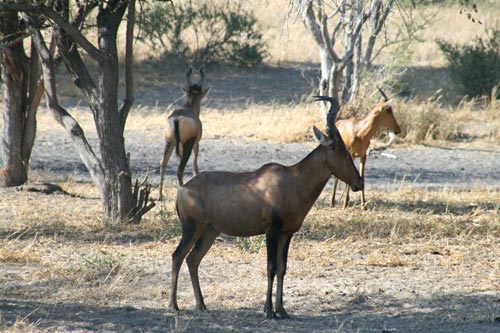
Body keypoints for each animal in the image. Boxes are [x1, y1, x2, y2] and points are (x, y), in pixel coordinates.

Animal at [158, 66, 209, 198]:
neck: (188, 107)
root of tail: (177, 118)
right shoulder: (196, 143)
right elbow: (195, 165)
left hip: (169, 142)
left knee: (163, 163)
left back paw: (160, 195)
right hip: (187, 145)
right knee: (180, 169)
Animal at [169, 95, 364, 316]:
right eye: (338, 148)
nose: (359, 183)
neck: (291, 179)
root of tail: (183, 189)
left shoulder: (287, 233)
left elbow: (282, 268)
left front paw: (282, 310)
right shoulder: (271, 230)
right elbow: (271, 267)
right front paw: (269, 311)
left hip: (210, 230)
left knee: (193, 259)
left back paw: (201, 305)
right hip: (192, 228)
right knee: (177, 256)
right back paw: (174, 305)